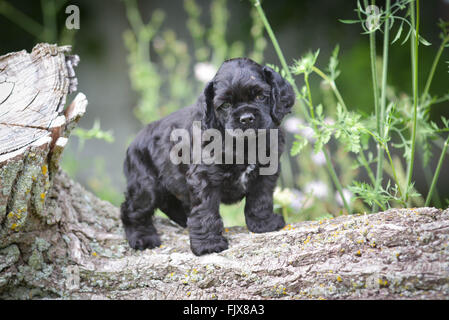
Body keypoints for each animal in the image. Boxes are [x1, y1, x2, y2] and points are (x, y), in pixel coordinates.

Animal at [120, 57, 294, 255]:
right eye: (225, 105)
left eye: (260, 96)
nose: (246, 118)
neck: (244, 144)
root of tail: (133, 142)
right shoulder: (204, 177)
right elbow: (206, 211)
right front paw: (208, 244)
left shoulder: (266, 173)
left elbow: (260, 199)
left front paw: (264, 224)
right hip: (145, 187)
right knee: (131, 210)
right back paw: (142, 237)